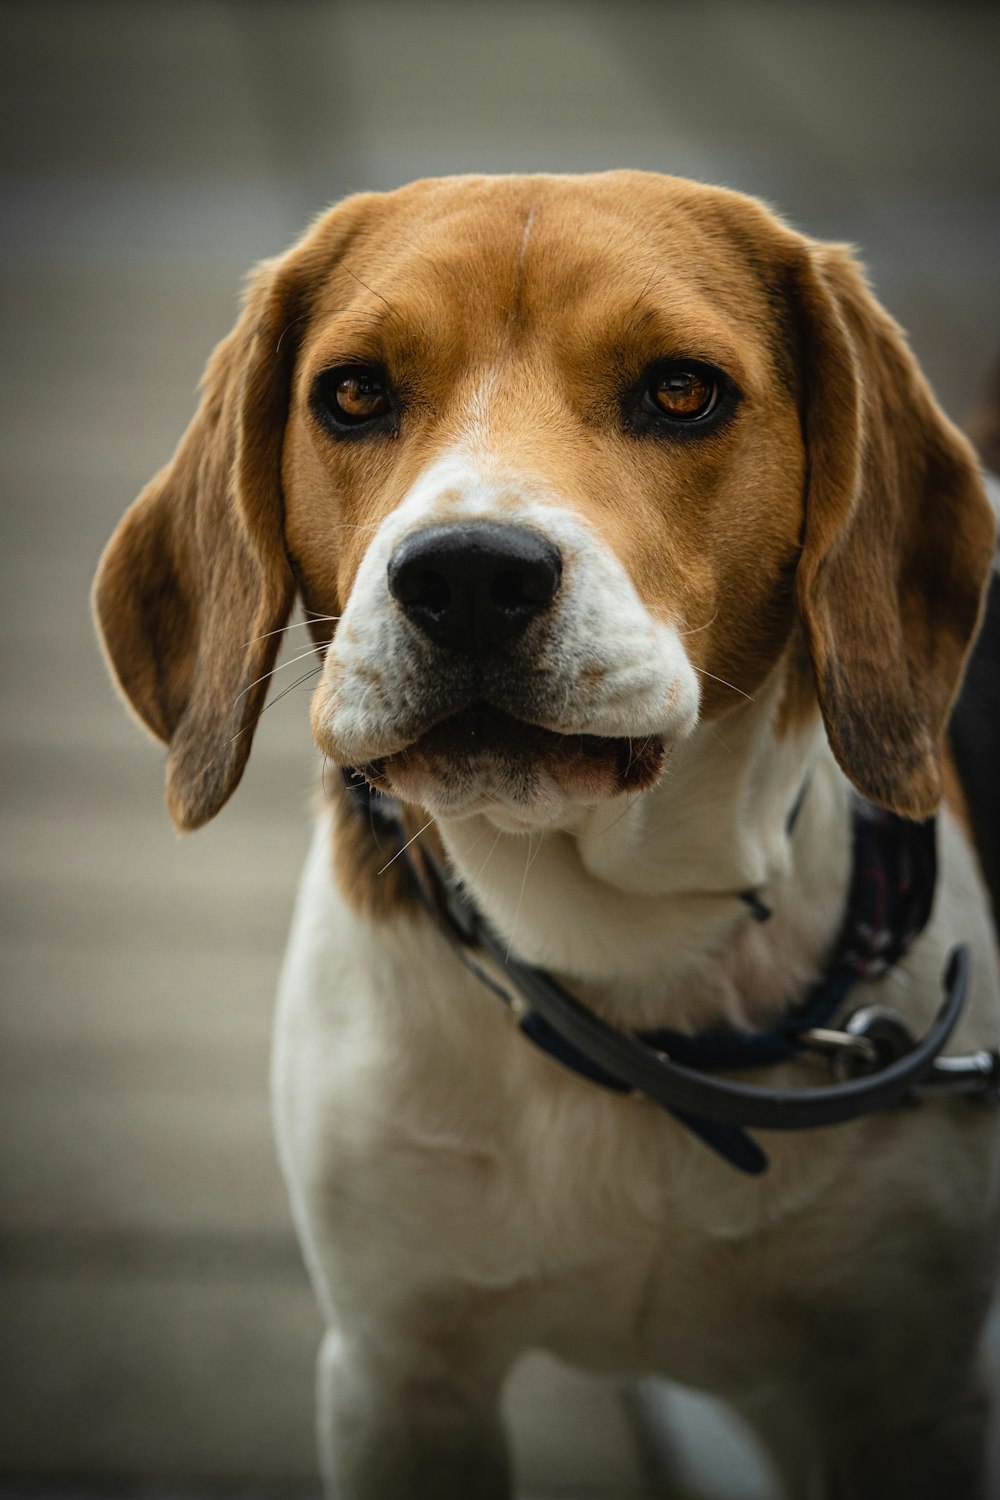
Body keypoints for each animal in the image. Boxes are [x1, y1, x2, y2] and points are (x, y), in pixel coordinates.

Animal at [93, 175, 1000, 1500]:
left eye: (680, 391)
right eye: (353, 393)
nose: (468, 574)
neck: (622, 960)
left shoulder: (911, 1392)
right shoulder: (401, 1374)